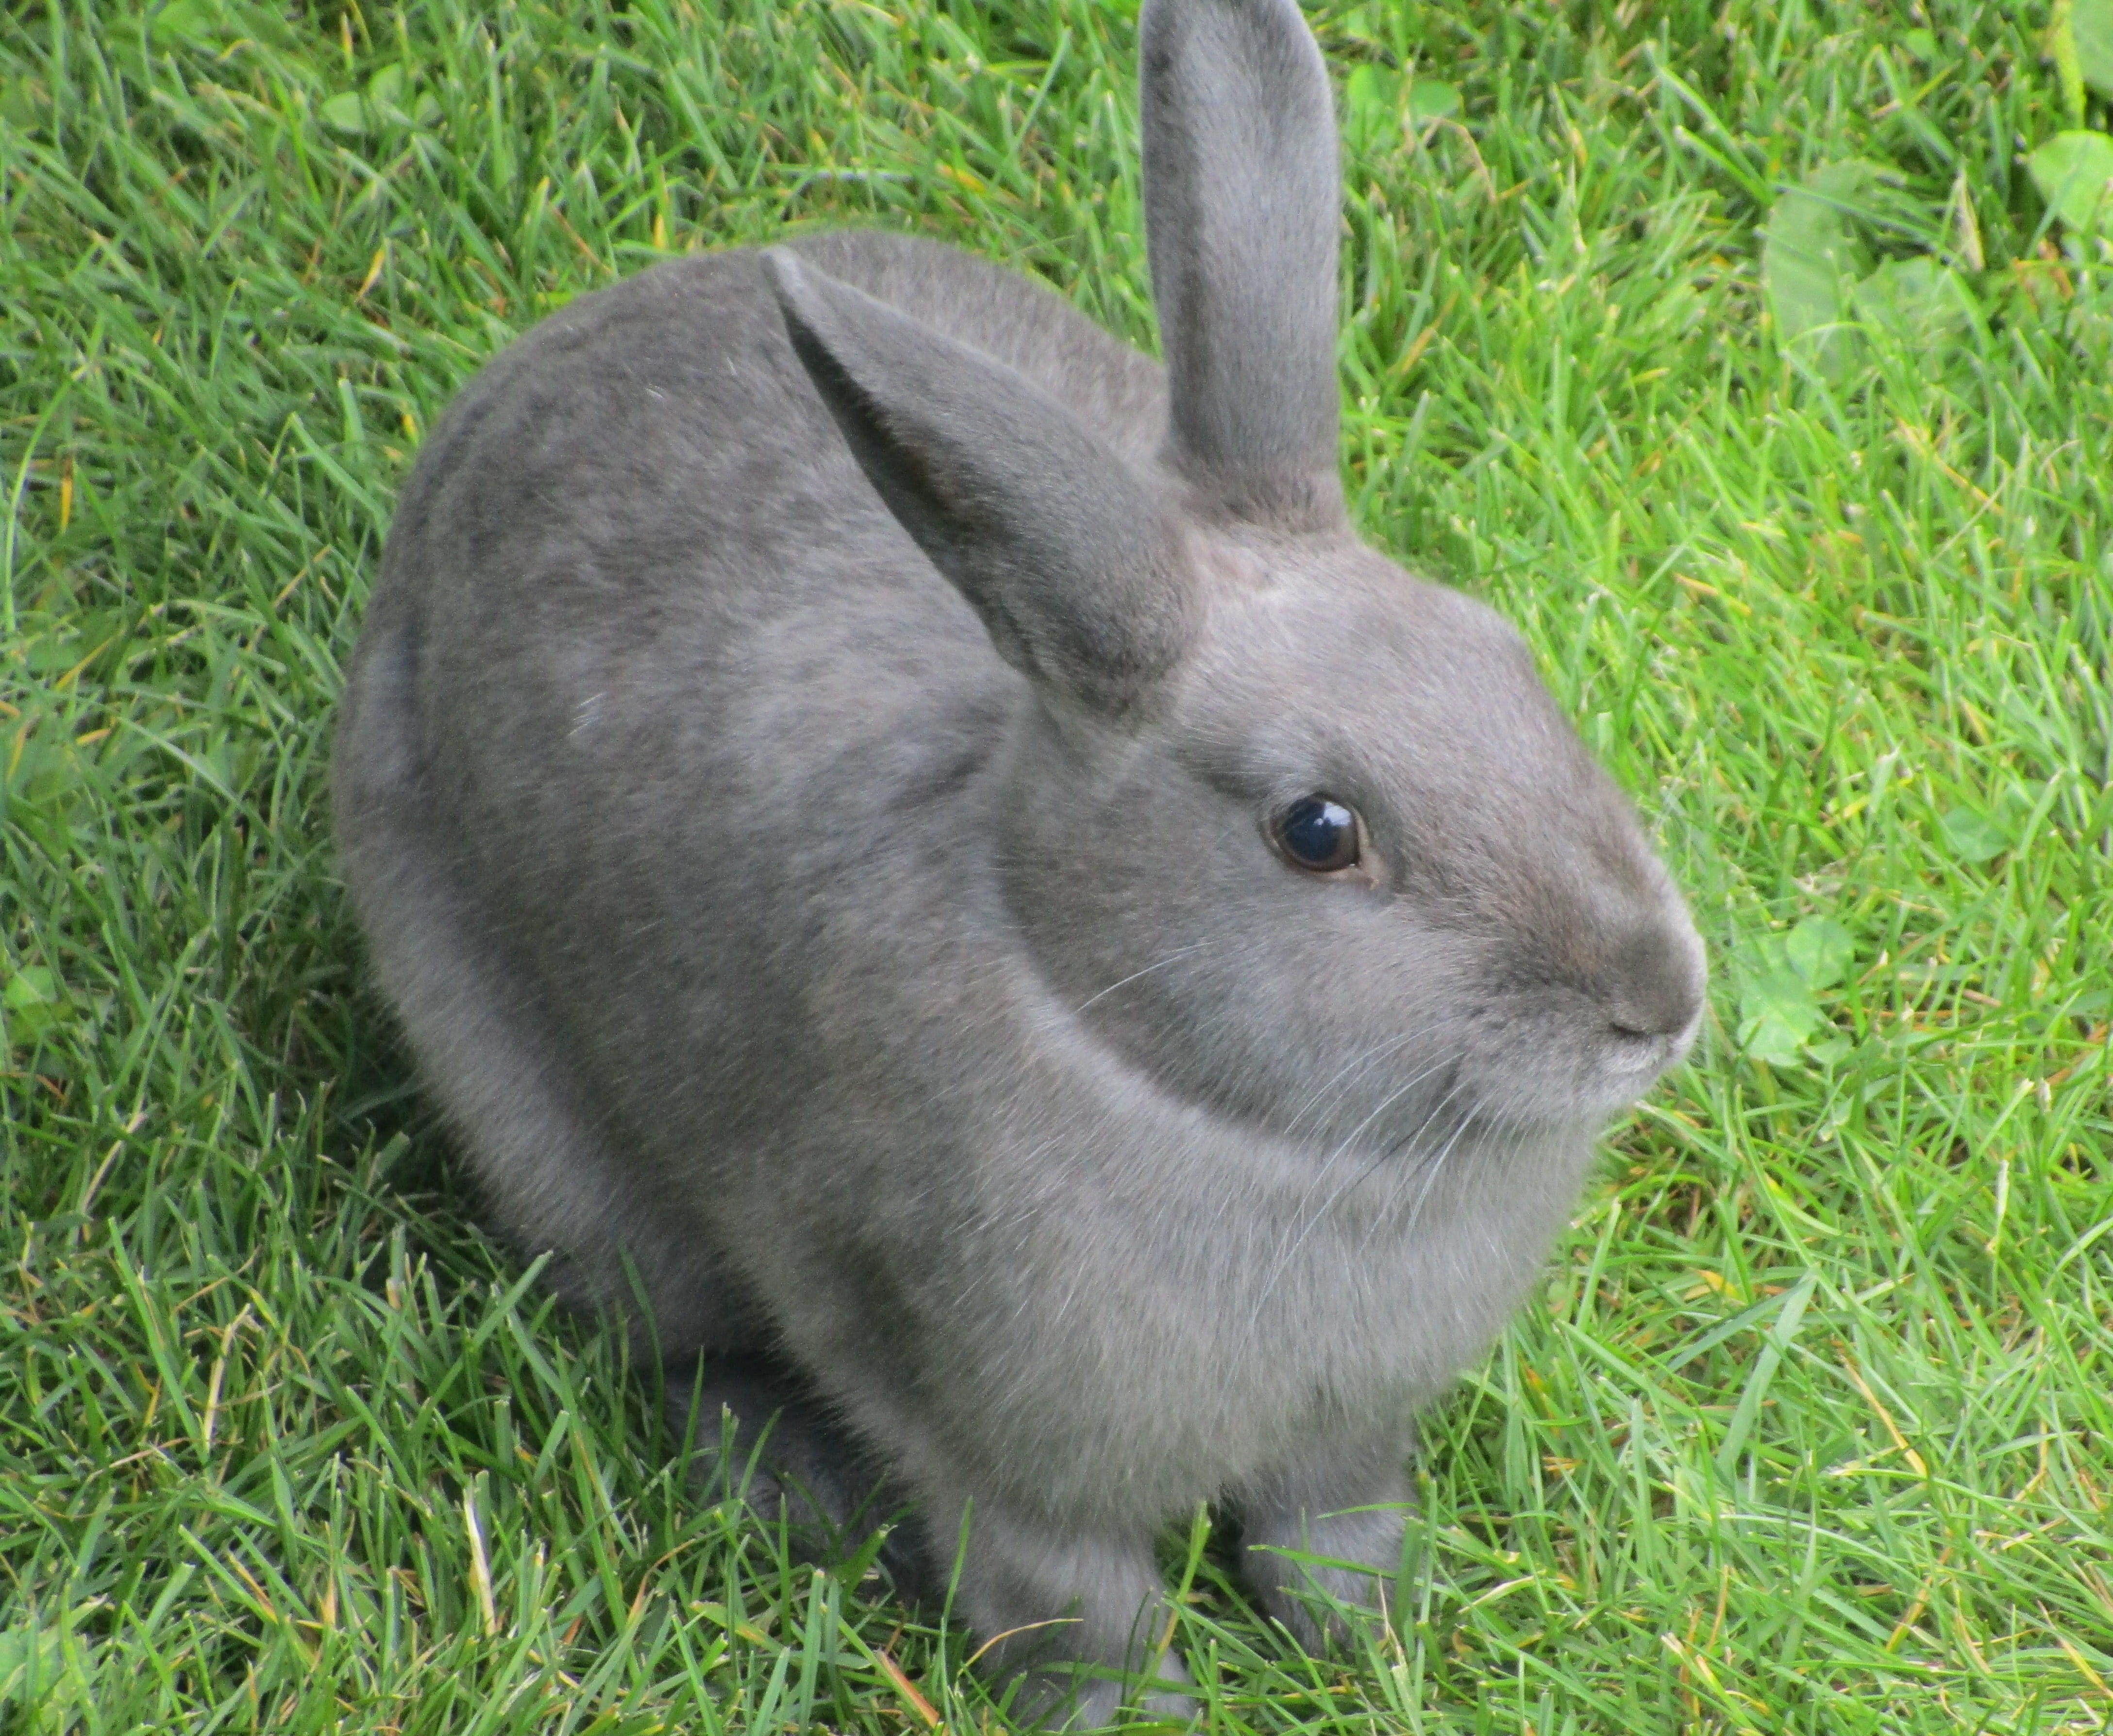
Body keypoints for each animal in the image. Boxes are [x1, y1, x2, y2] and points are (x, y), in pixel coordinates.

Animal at [332, 0, 1706, 1723]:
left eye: (1508, 662)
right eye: (1317, 829)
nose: (1655, 998)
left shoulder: (1346, 1427)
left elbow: (1330, 1524)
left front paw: (1372, 1644)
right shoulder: (978, 1432)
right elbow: (1073, 1607)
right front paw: (1149, 1716)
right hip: (549, 1136)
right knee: (683, 1341)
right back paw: (794, 1491)